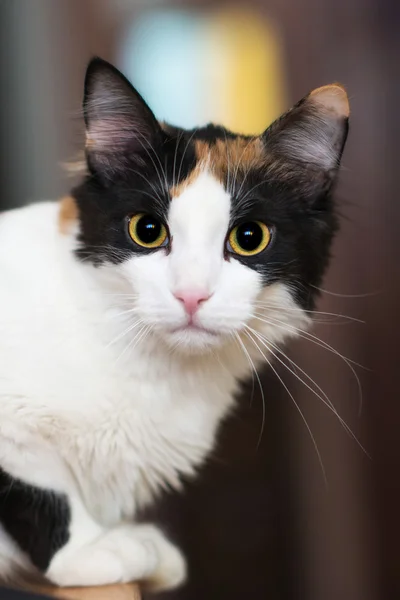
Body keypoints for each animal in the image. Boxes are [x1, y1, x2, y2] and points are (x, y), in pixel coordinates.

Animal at [0, 58, 346, 592]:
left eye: (250, 238)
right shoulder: (14, 433)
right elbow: (42, 489)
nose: (191, 295)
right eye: (147, 230)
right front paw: (90, 552)